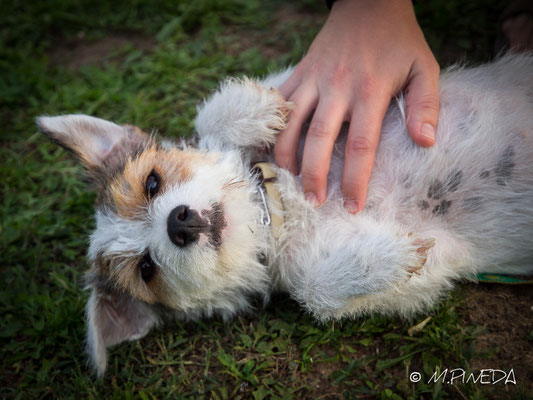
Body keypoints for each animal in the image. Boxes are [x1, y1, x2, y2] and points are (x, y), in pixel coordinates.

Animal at [36, 52, 532, 376]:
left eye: (152, 183)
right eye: (146, 269)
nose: (179, 222)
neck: (275, 212)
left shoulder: (306, 93)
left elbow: (219, 119)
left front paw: (257, 110)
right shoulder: (440, 266)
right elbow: (321, 290)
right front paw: (386, 259)